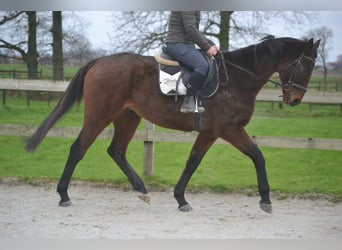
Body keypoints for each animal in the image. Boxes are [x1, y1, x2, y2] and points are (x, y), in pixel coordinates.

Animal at [26, 36, 320, 213]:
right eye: (307, 67)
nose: (295, 99)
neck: (236, 79)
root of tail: (100, 60)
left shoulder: (210, 132)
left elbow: (193, 161)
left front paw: (180, 198)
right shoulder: (229, 130)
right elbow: (258, 157)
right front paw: (266, 200)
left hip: (128, 116)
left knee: (116, 151)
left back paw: (142, 190)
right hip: (100, 115)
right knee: (79, 148)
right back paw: (64, 195)